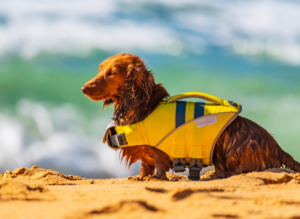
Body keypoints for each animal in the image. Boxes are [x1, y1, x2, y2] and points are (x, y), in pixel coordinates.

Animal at [82, 52, 300, 180]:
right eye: (100, 69)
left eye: (111, 73)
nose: (83, 88)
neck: (143, 108)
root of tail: (278, 148)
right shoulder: (145, 155)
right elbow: (145, 166)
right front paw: (141, 177)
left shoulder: (159, 153)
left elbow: (158, 167)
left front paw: (155, 178)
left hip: (232, 148)